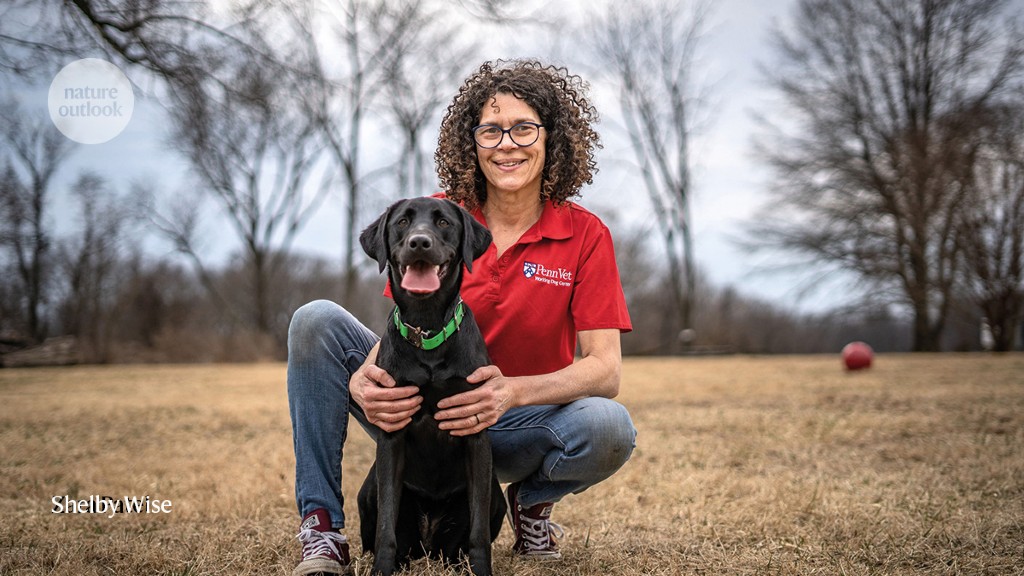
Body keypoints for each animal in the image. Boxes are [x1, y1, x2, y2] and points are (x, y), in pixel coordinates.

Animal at [358, 195, 505, 573]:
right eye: (402, 222)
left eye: (443, 222)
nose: (419, 242)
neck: (427, 332)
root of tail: (428, 544)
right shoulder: (392, 434)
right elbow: (386, 526)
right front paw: (382, 569)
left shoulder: (475, 431)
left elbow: (479, 532)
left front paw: (481, 570)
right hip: (368, 489)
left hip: (495, 494)